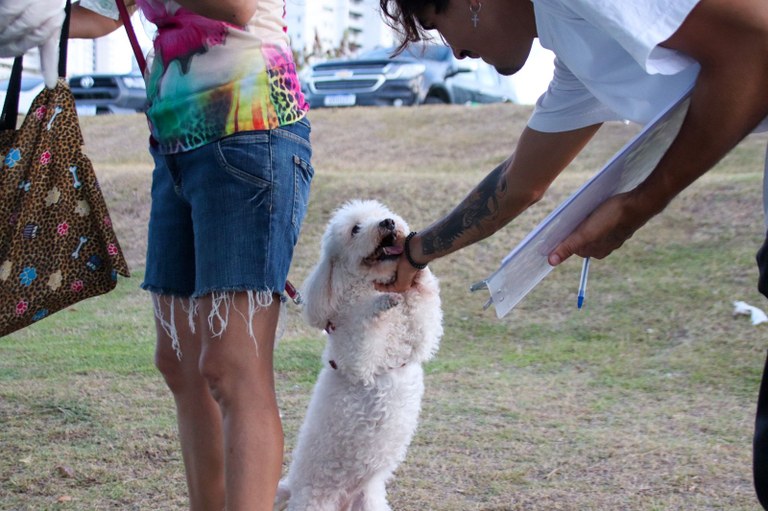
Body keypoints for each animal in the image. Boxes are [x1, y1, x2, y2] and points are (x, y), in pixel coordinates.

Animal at [276, 200, 444, 511]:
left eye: (382, 214)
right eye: (355, 229)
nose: (388, 223)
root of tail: (292, 489)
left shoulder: (419, 338)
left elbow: (424, 315)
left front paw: (419, 273)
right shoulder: (357, 357)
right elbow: (365, 325)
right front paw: (380, 302)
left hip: (370, 501)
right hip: (316, 502)